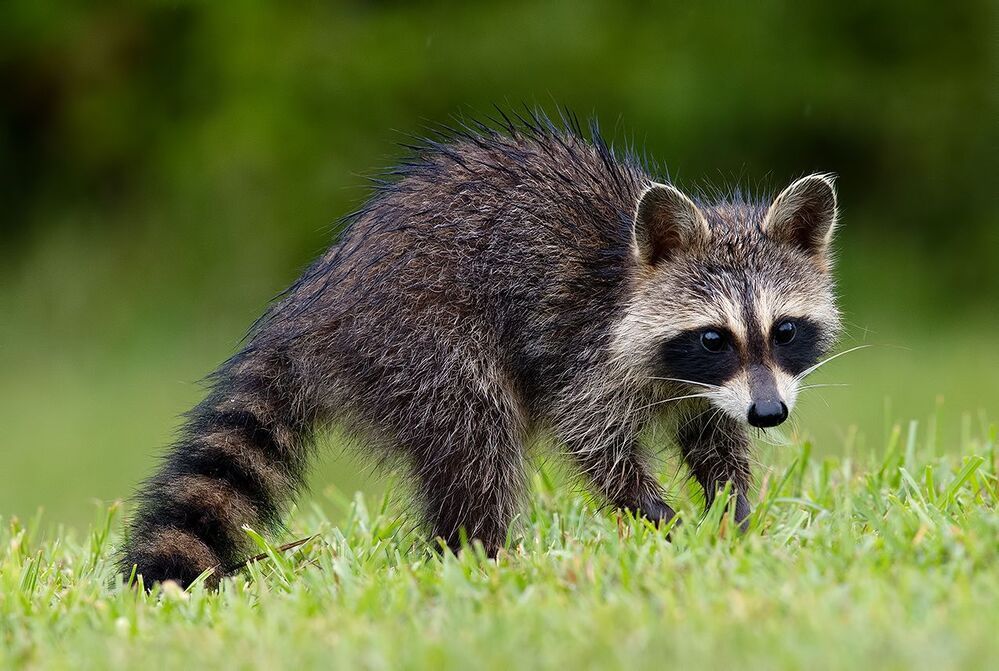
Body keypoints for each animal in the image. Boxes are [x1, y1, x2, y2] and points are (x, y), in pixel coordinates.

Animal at [119, 112, 841, 588]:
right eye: (713, 336)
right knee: (475, 437)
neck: (627, 273)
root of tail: (310, 306)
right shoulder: (587, 351)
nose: (771, 414)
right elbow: (593, 441)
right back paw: (482, 552)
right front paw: (658, 516)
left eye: (783, 330)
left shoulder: (719, 388)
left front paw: (734, 514)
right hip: (419, 339)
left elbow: (716, 440)